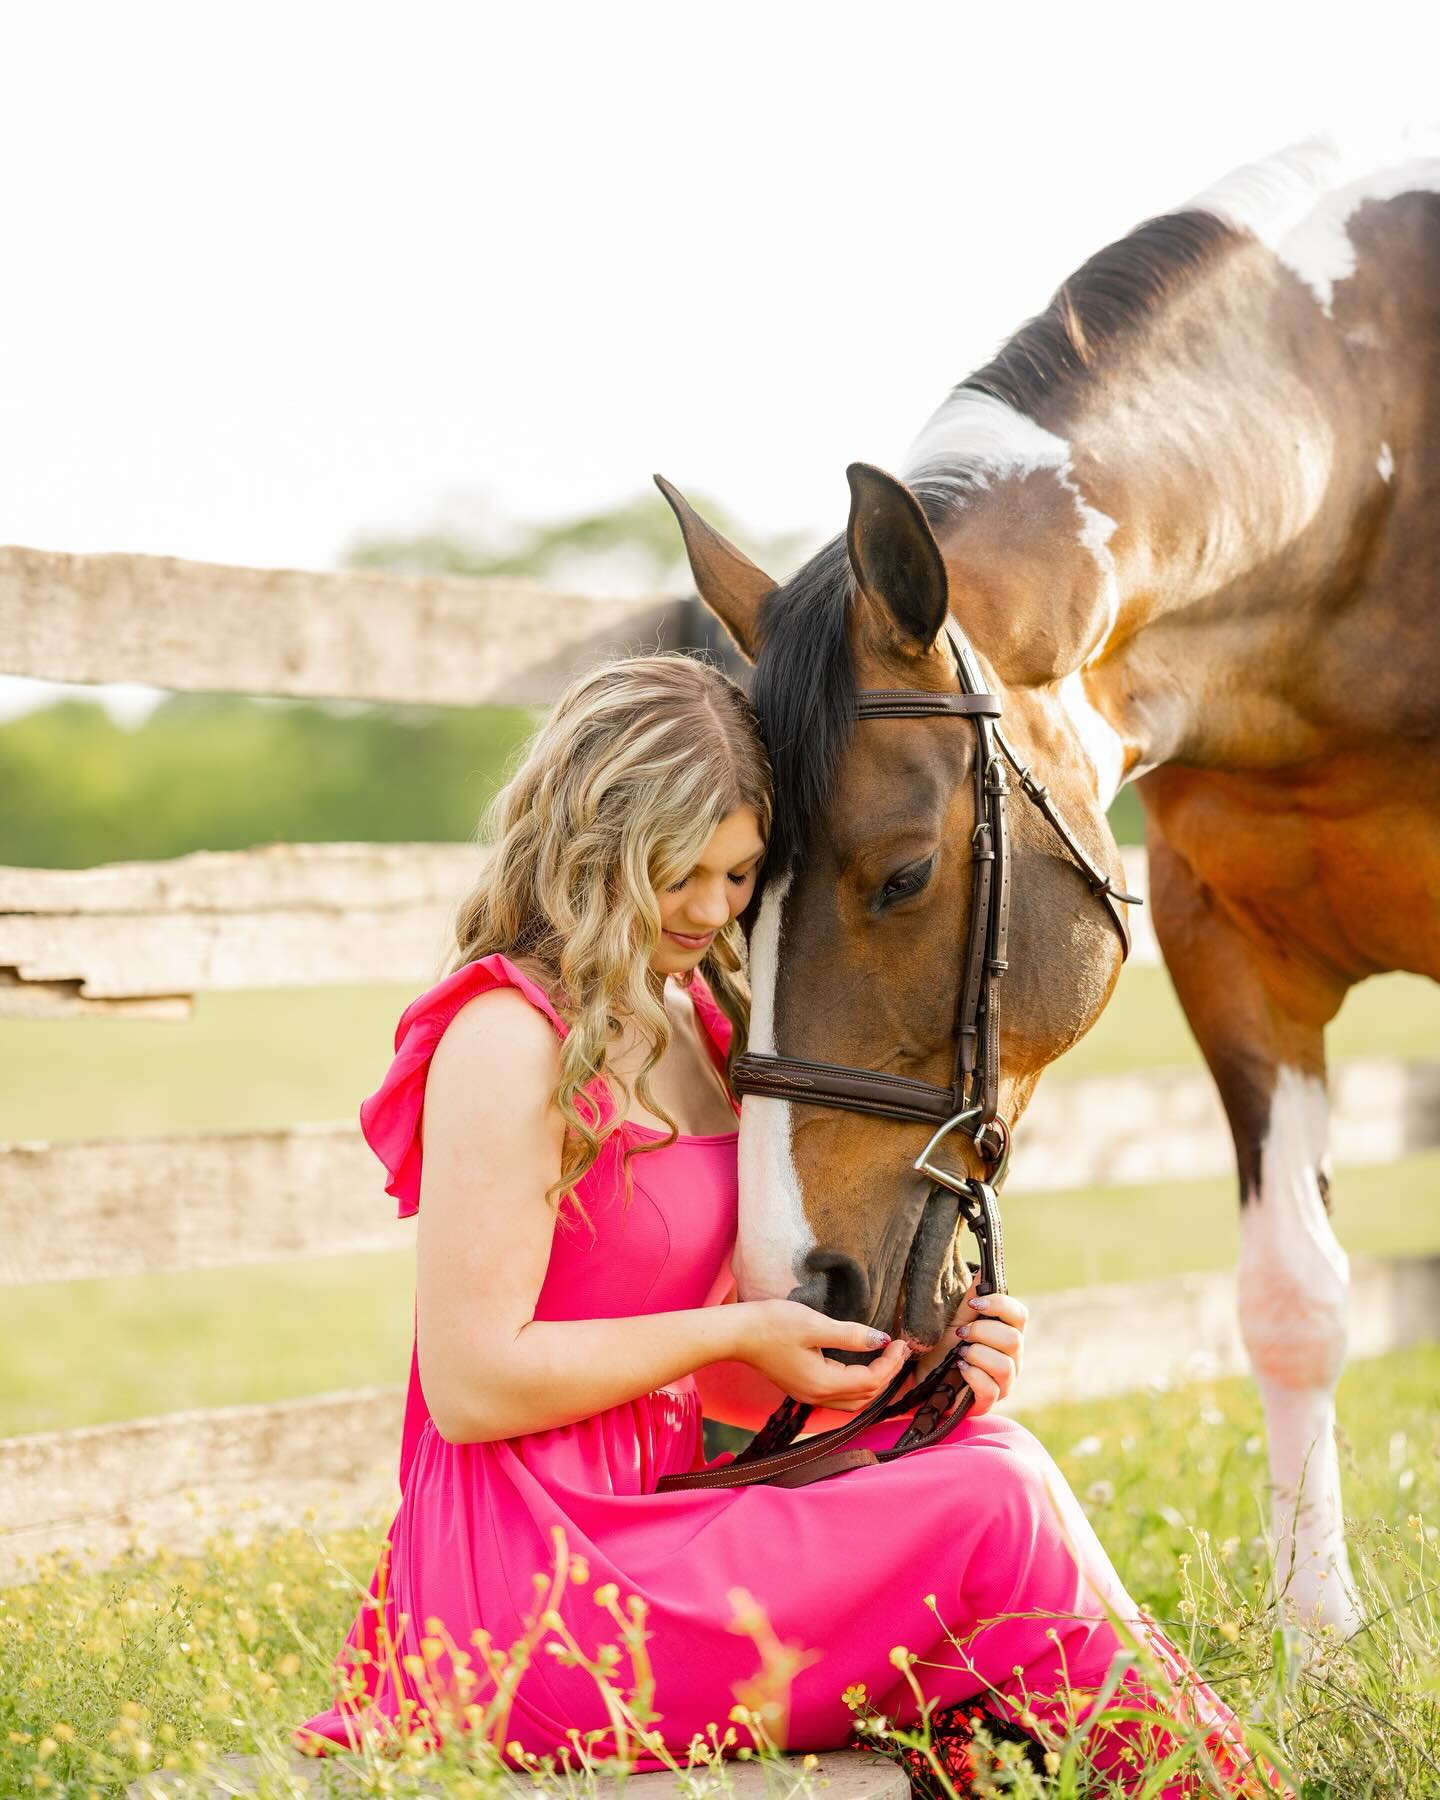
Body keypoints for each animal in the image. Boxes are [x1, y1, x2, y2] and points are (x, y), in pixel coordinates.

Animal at [657, 124, 1440, 1631]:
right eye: (736, 906)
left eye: (905, 875)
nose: (796, 1277)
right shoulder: (1230, 943)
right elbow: (1295, 1298)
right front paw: (1318, 1636)